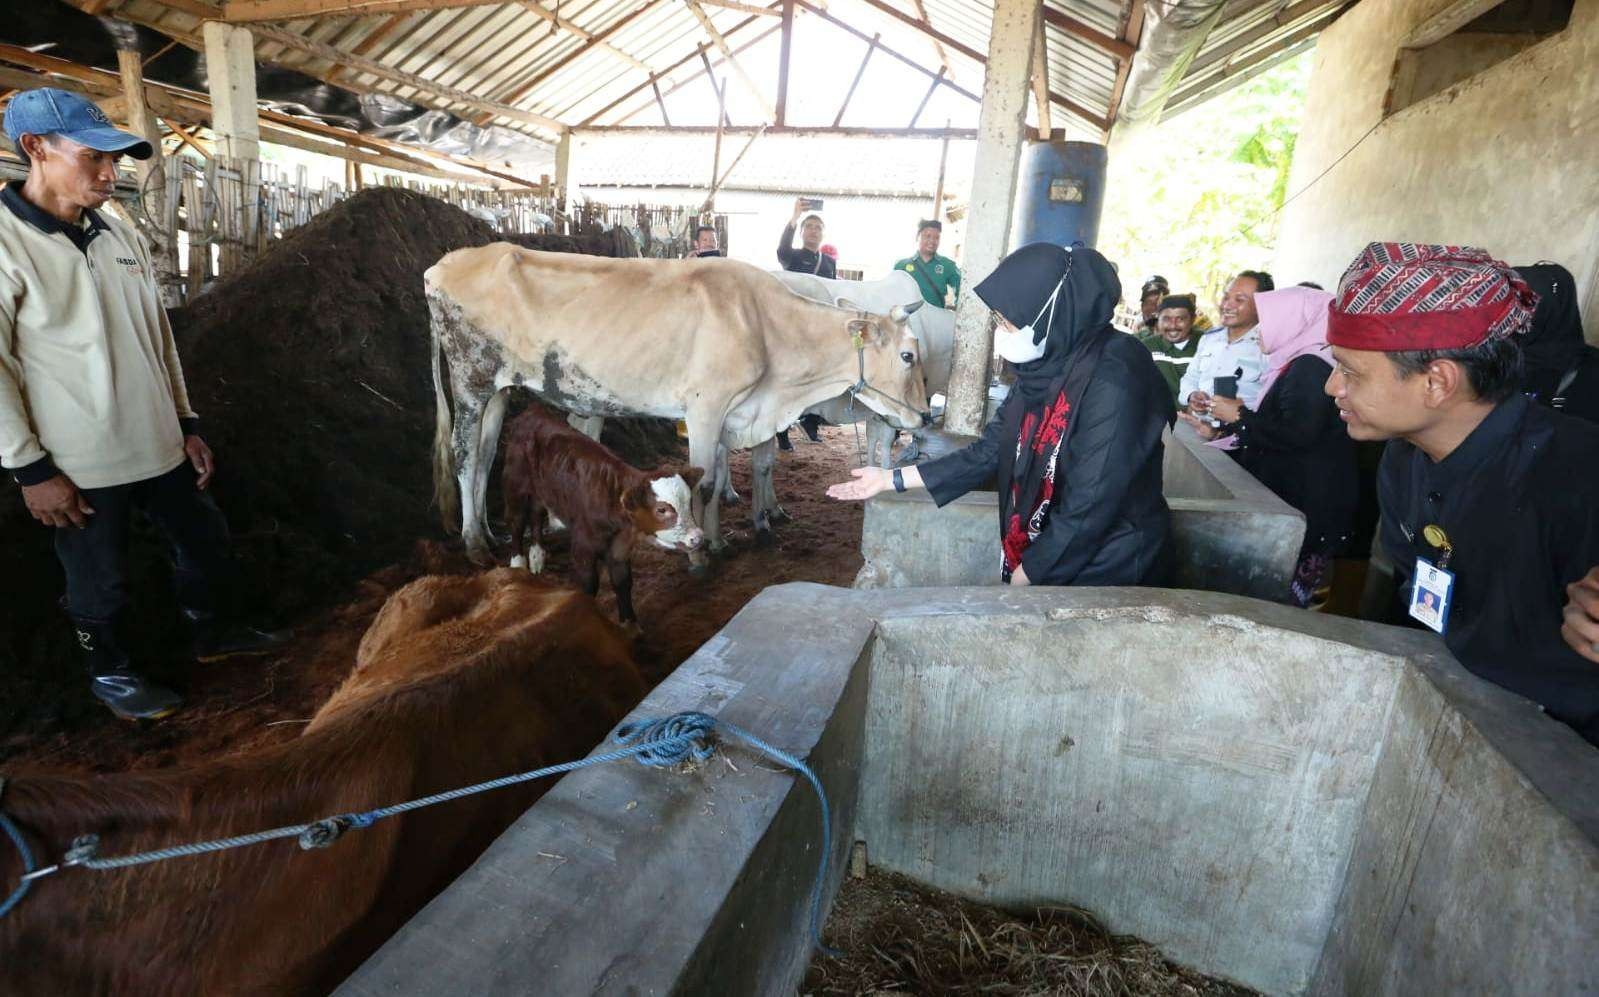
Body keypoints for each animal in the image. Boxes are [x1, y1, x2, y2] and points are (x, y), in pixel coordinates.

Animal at [431, 246, 933, 565]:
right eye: (909, 355)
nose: (924, 415)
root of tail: (448, 262)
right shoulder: (705, 407)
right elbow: (705, 484)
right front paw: (701, 553)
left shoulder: (735, 415)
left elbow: (719, 476)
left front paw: (717, 539)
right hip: (470, 375)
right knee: (464, 452)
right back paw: (474, 542)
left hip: (497, 388)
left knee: (486, 454)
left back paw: (489, 530)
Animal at [498, 402, 700, 623]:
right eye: (661, 509)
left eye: (690, 502)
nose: (697, 536)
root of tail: (533, 410)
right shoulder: (582, 546)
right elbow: (588, 586)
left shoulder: (619, 549)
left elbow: (622, 583)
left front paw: (629, 624)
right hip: (515, 485)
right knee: (516, 522)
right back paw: (518, 567)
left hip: (542, 489)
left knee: (536, 513)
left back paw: (537, 556)